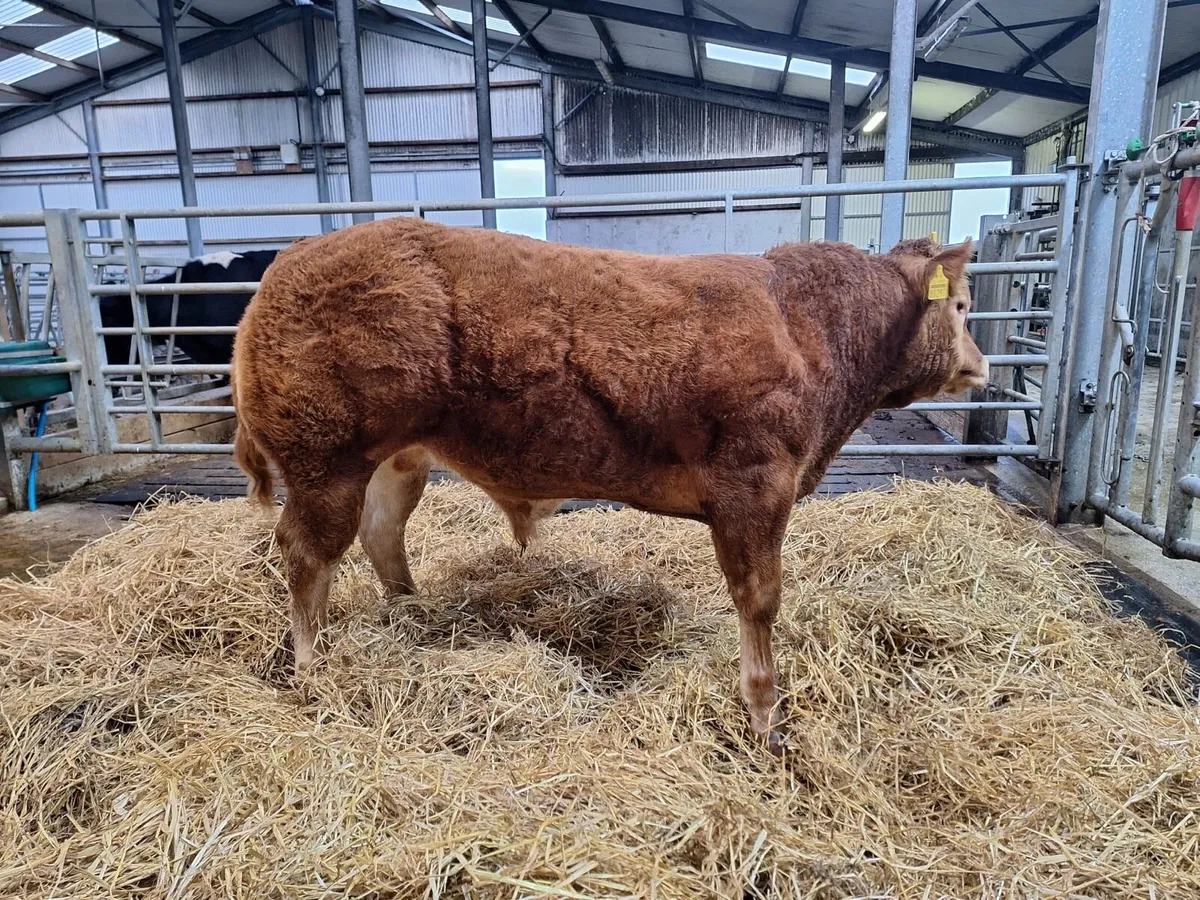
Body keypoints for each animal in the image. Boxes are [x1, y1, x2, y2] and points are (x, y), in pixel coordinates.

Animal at [230, 219, 987, 754]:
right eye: (963, 305)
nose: (979, 367)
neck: (810, 330)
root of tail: (284, 266)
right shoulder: (756, 482)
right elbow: (760, 601)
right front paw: (765, 718)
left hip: (398, 458)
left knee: (381, 532)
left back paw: (412, 612)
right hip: (326, 460)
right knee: (306, 555)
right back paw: (312, 669)